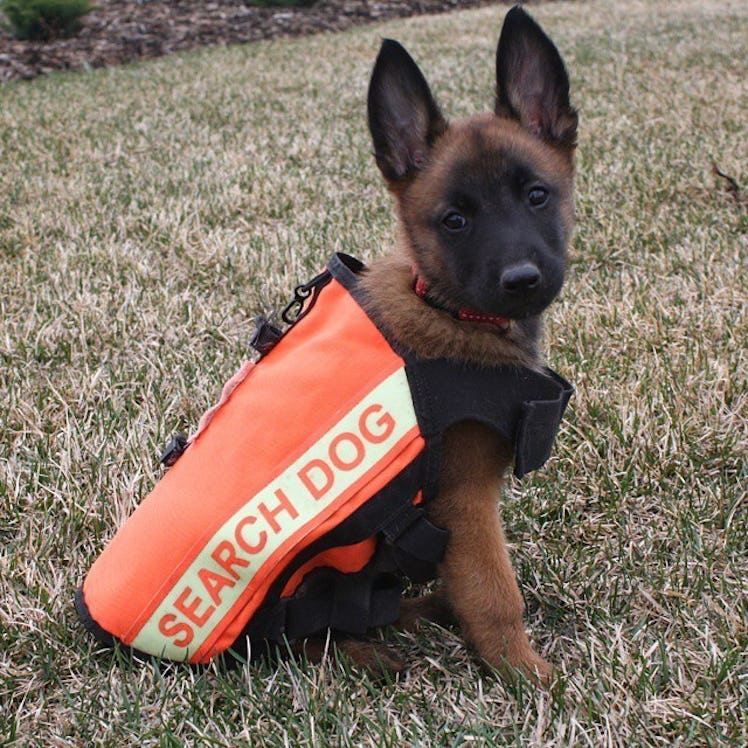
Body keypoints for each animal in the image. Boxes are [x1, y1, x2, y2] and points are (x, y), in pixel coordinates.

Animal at [322, 5, 580, 684]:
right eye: (454, 220)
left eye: (536, 195)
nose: (522, 279)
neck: (450, 308)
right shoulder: (465, 505)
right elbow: (494, 592)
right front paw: (525, 673)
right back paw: (367, 651)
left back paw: (427, 609)